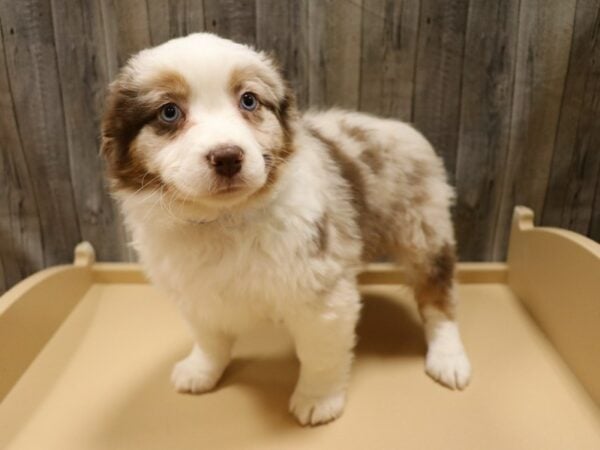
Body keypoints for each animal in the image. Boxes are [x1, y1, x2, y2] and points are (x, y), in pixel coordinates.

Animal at [101, 32, 472, 426]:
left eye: (248, 100)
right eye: (169, 112)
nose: (228, 157)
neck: (224, 220)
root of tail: (396, 125)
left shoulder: (321, 291)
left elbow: (320, 354)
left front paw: (318, 400)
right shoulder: (195, 291)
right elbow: (209, 338)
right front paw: (200, 371)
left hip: (424, 230)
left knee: (439, 294)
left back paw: (448, 358)